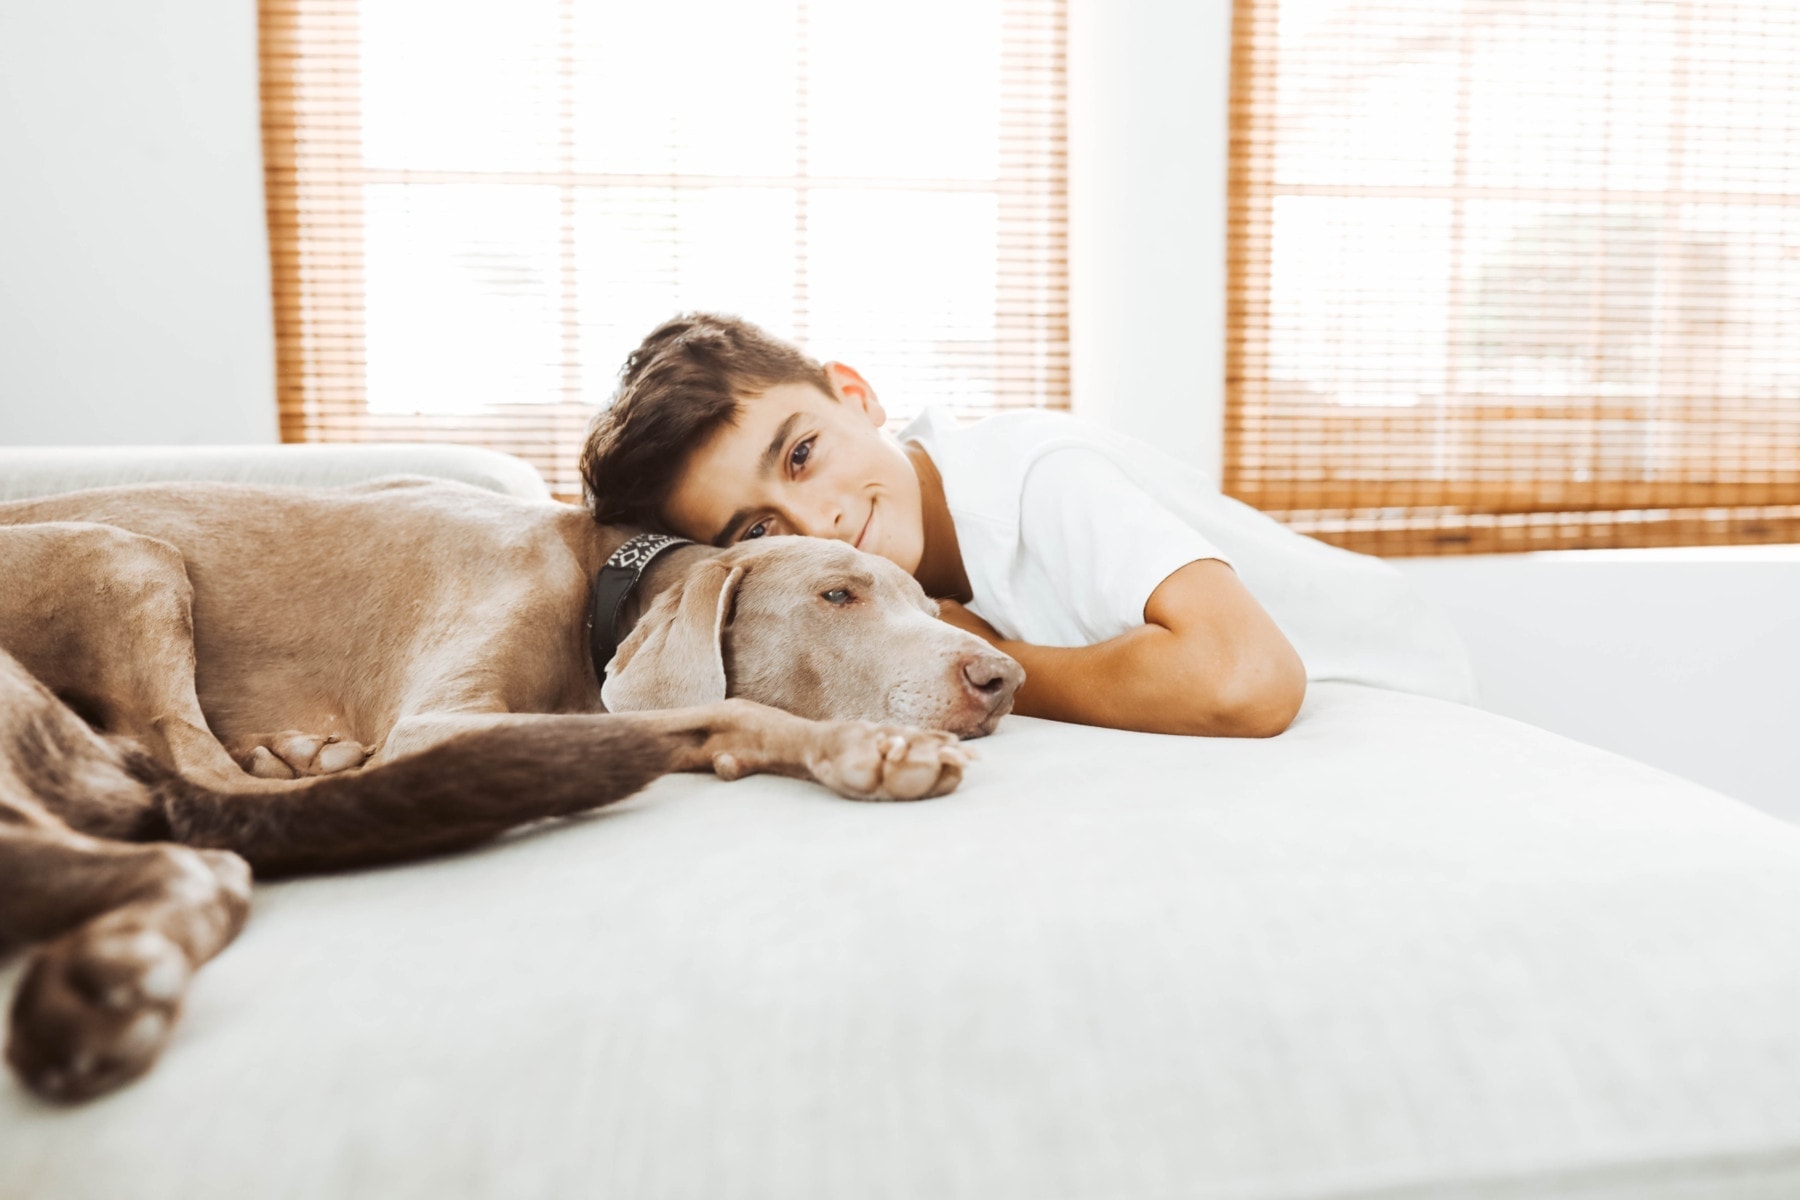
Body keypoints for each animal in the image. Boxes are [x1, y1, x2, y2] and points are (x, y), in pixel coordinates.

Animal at [0, 474, 1022, 1101]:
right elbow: (716, 712)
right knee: (203, 779)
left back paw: (297, 753)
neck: (604, 580)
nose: (1001, 678)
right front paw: (864, 747)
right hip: (122, 554)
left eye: (931, 605)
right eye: (836, 596)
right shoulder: (436, 720)